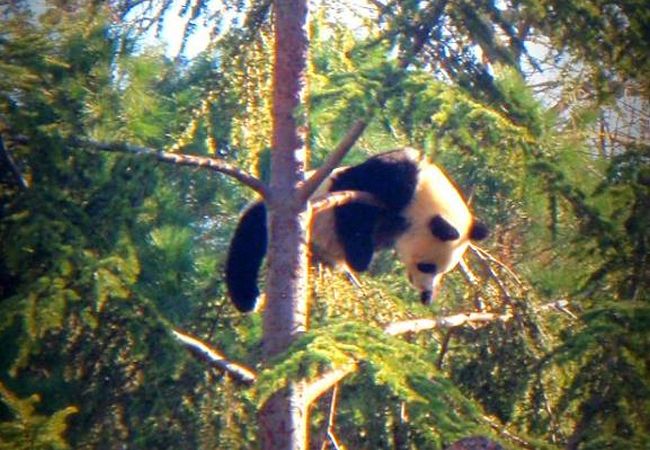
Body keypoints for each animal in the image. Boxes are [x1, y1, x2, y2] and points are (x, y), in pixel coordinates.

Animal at [227, 148, 486, 312]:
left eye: (442, 271)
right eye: (427, 266)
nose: (425, 294)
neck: (426, 193)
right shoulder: (390, 179)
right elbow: (352, 203)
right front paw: (360, 257)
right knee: (249, 241)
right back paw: (247, 299)